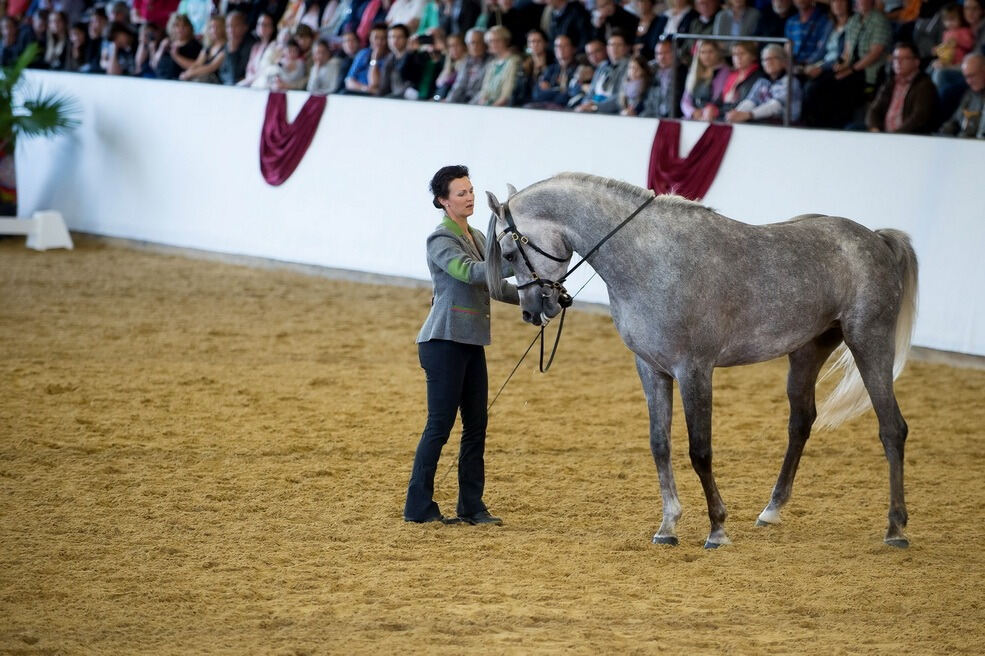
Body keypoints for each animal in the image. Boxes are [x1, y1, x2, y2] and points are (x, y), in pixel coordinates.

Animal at [488, 174, 920, 548]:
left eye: (510, 252)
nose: (531, 311)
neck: (652, 259)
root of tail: (876, 239)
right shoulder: (652, 369)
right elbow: (660, 444)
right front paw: (667, 526)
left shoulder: (694, 370)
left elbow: (700, 450)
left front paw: (717, 528)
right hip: (807, 351)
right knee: (801, 423)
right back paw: (771, 510)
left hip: (869, 343)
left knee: (892, 428)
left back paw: (896, 528)